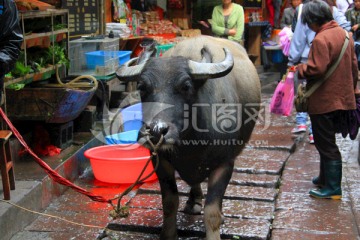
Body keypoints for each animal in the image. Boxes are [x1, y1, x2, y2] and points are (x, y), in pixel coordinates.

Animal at [116, 36, 260, 240]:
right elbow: (169, 202)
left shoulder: (225, 163)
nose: (156, 130)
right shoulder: (161, 161)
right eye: (142, 87)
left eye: (185, 86)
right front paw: (168, 234)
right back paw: (193, 202)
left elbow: (212, 212)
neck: (190, 145)